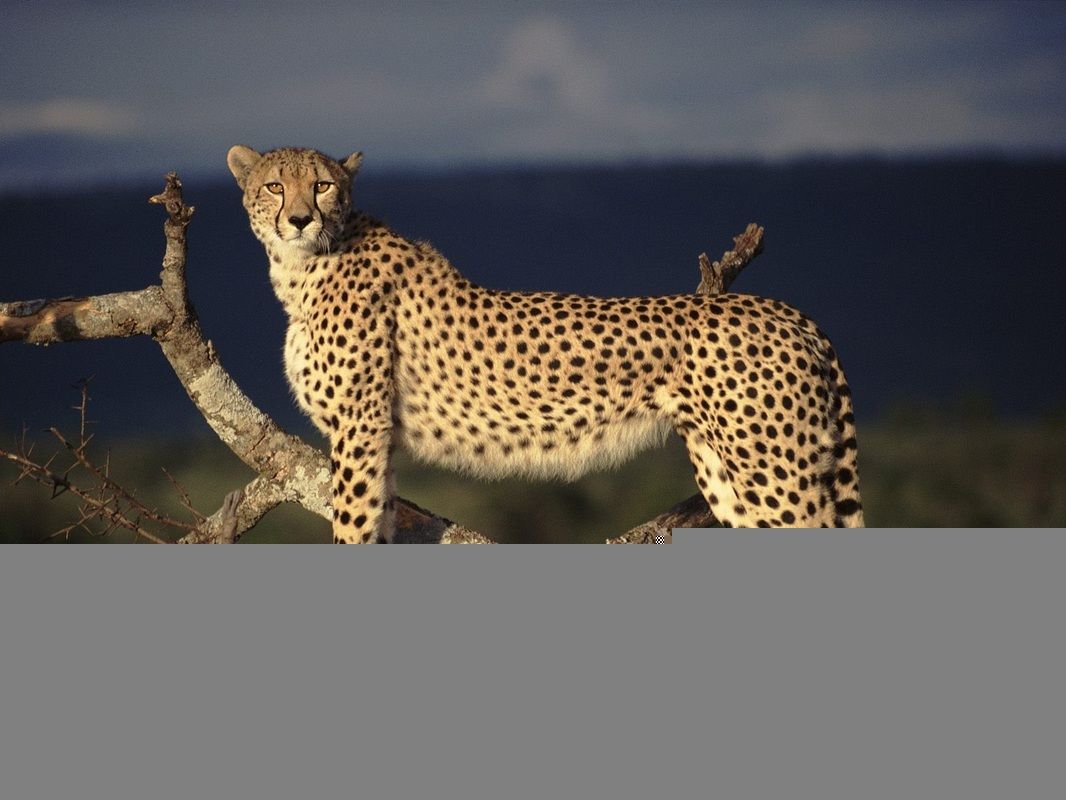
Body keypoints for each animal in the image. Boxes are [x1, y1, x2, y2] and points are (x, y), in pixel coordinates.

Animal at [226, 145, 864, 541]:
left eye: (323, 186)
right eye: (275, 186)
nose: (300, 219)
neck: (304, 268)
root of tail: (787, 310)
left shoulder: (359, 429)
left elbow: (352, 524)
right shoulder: (375, 437)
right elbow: (378, 518)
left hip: (775, 475)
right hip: (728, 472)